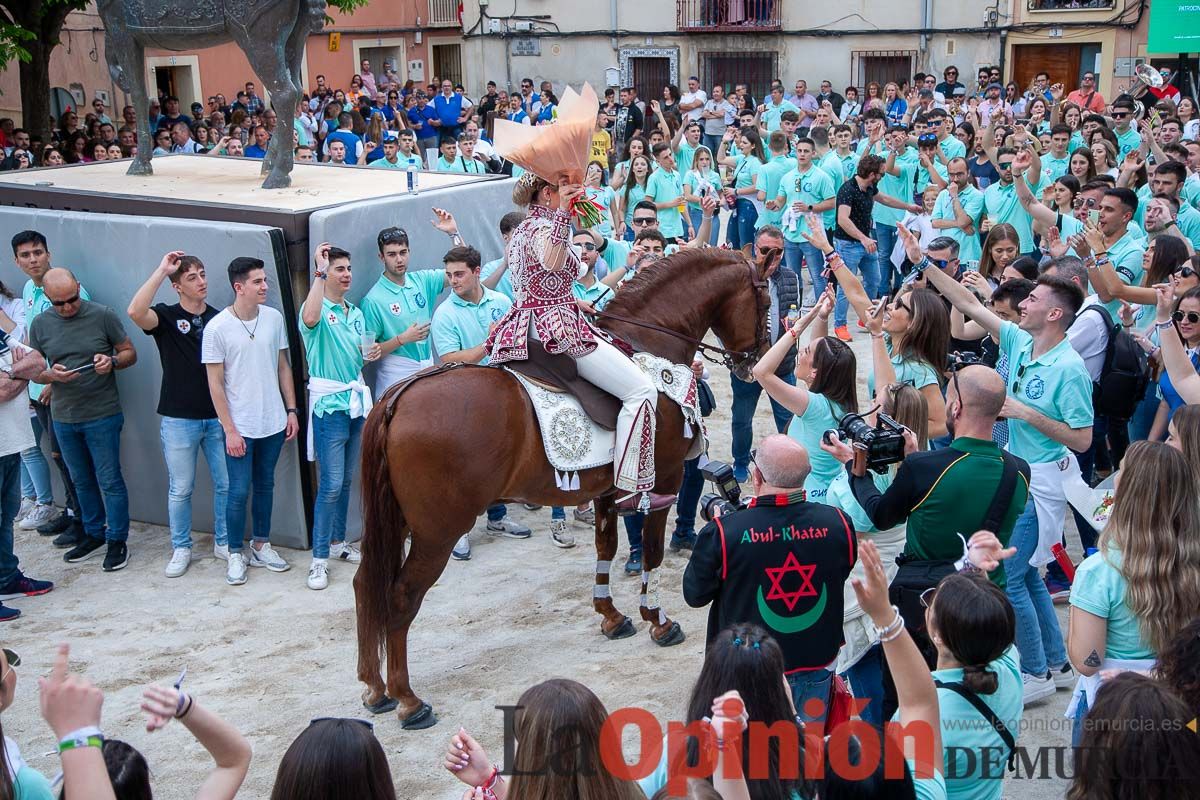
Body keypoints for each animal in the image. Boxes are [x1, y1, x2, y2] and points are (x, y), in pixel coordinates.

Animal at [350, 247, 772, 729]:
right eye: (766, 301)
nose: (756, 361)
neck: (649, 344)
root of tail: (398, 395)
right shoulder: (663, 480)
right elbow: (650, 553)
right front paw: (658, 621)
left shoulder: (608, 490)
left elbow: (606, 547)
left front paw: (612, 617)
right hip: (438, 531)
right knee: (401, 597)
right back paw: (408, 699)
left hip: (399, 522)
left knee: (365, 586)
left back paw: (374, 689)